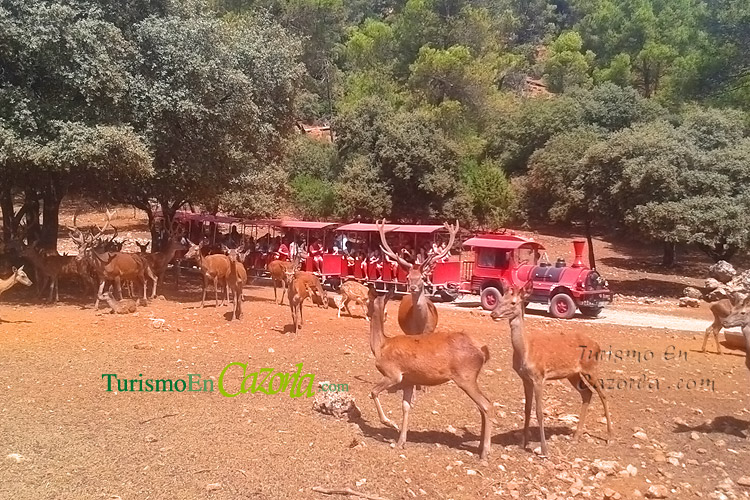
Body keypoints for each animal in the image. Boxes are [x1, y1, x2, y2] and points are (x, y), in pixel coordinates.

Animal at [366, 286, 494, 460]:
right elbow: (406, 406)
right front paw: (401, 441)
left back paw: (485, 452)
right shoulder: (408, 380)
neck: (381, 346)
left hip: (466, 377)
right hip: (470, 378)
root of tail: (483, 351)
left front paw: (390, 423)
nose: (365, 313)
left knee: (486, 405)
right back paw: (480, 446)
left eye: (367, 301)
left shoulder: (393, 374)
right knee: (482, 406)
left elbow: (373, 392)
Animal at [490, 282, 612, 458]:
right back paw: (576, 436)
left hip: (591, 368)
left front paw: (544, 450)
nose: (493, 313)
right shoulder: (525, 378)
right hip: (573, 374)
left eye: (513, 302)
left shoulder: (539, 376)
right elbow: (527, 409)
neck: (525, 351)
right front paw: (523, 443)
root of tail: (598, 345)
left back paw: (609, 436)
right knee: (587, 394)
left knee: (603, 395)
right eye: (500, 299)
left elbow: (539, 412)